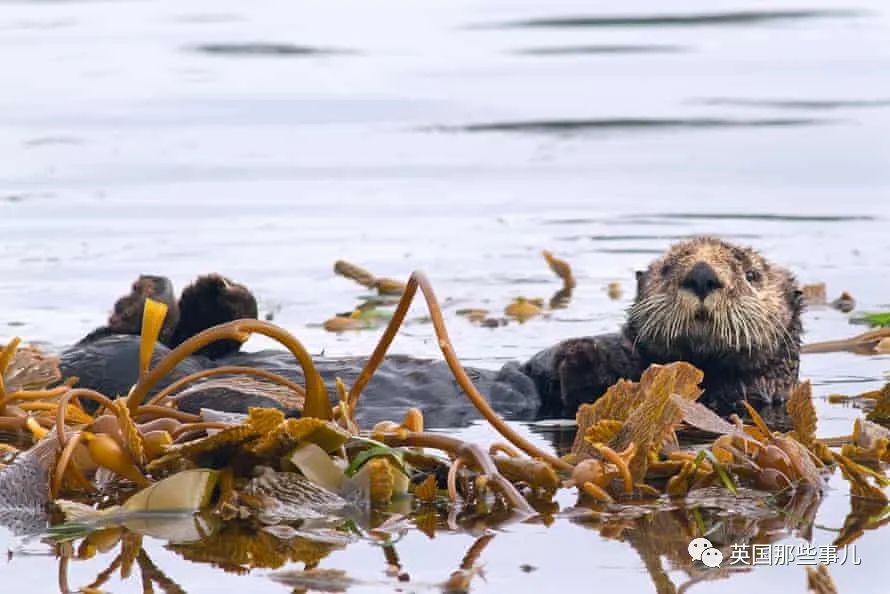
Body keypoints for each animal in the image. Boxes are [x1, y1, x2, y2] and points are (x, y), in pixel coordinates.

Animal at [59, 237, 800, 426]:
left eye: (750, 273)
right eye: (671, 264)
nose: (701, 275)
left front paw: (592, 355)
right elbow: (554, 365)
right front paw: (586, 348)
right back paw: (197, 293)